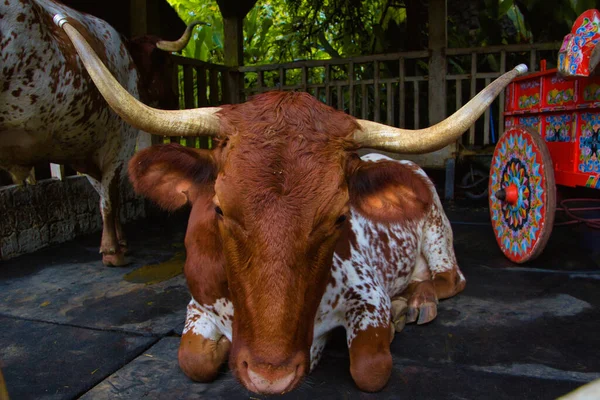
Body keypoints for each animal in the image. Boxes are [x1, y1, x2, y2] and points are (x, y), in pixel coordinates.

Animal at [0, 0, 200, 266]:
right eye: (166, 64)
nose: (174, 100)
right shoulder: (120, 141)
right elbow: (110, 197)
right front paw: (113, 250)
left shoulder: (89, 147)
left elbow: (104, 193)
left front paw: (119, 242)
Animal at [54, 14, 528, 394]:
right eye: (220, 210)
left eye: (340, 217)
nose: (270, 377)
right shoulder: (198, 306)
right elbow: (194, 361)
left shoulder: (366, 293)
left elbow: (370, 369)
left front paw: (389, 323)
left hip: (437, 233)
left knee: (449, 280)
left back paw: (415, 303)